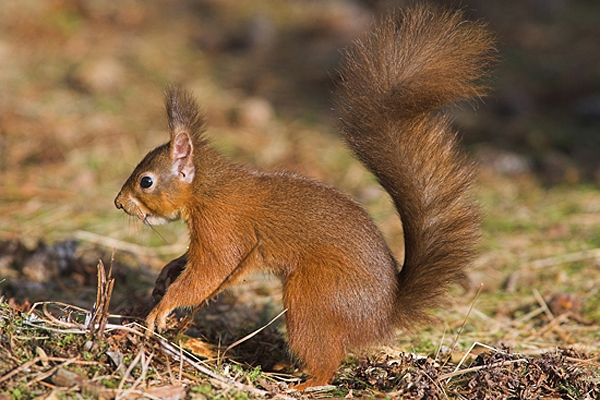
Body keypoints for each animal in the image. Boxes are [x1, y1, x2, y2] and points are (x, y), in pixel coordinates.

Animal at [115, 4, 494, 390]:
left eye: (146, 181)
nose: (119, 203)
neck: (207, 189)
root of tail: (382, 317)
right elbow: (191, 263)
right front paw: (167, 272)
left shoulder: (223, 228)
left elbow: (209, 271)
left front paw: (161, 310)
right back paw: (288, 368)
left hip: (312, 300)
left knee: (327, 360)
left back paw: (304, 383)